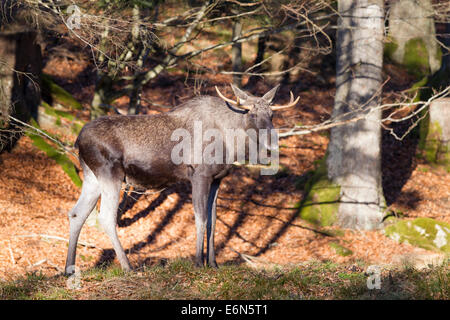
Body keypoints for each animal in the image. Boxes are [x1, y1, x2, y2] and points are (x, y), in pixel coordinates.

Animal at [64, 84, 298, 274]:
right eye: (251, 113)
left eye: (272, 114)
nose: (272, 143)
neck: (232, 144)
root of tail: (78, 140)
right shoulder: (199, 175)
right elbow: (201, 219)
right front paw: (198, 263)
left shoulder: (217, 179)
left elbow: (213, 222)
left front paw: (213, 264)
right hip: (110, 173)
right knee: (105, 217)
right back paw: (128, 267)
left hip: (91, 177)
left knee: (76, 213)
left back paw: (69, 269)